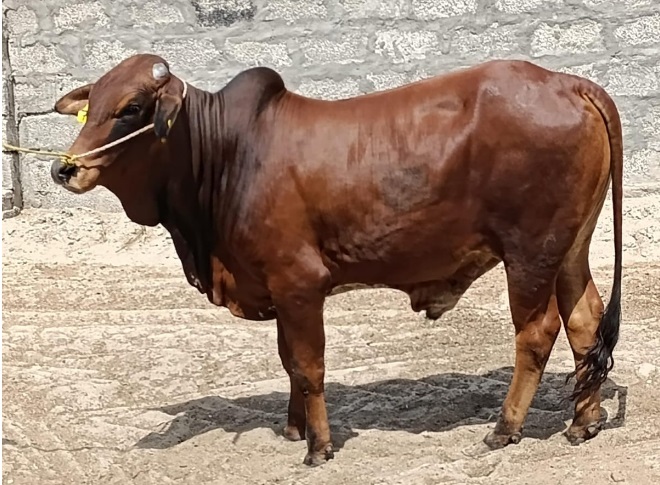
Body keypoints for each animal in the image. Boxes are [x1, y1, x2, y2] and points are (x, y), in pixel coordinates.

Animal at [49, 53, 623, 466]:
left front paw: (318, 447)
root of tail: (567, 82)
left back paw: (504, 429)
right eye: (89, 106)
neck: (227, 153)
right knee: (584, 321)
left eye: (131, 107)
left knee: (537, 332)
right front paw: (293, 428)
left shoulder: (299, 283)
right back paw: (583, 422)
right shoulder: (278, 288)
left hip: (530, 253)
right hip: (570, 249)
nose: (64, 169)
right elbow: (288, 361)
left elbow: (308, 366)